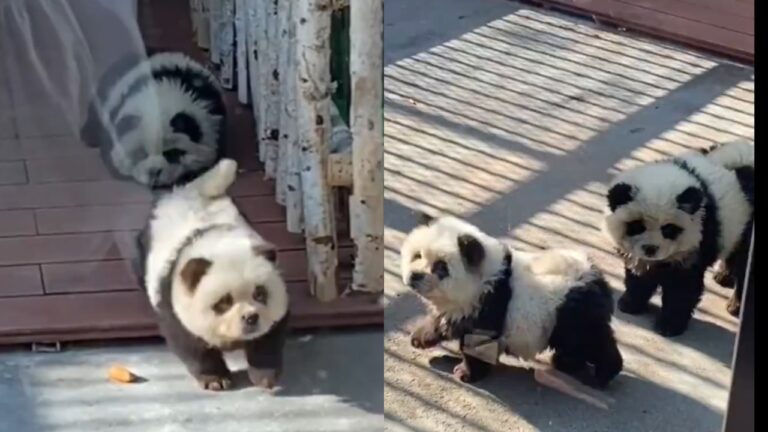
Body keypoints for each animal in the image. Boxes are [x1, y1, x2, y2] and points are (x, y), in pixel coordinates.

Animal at [134, 159, 289, 391]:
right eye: (223, 302)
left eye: (260, 294)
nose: (250, 318)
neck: (216, 242)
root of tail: (185, 191)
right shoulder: (173, 302)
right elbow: (189, 343)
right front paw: (215, 379)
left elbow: (269, 333)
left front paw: (265, 376)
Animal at [401, 215, 623, 388]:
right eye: (417, 255)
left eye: (441, 267)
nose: (415, 276)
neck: (486, 277)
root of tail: (597, 278)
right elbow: (444, 320)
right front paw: (420, 337)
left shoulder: (489, 305)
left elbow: (478, 344)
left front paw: (466, 373)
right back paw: (568, 363)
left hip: (571, 312)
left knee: (588, 341)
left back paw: (602, 373)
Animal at [603, 140, 754, 335]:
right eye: (637, 226)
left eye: (668, 229)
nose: (650, 249)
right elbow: (639, 276)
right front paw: (629, 303)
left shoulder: (697, 242)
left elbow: (682, 288)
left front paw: (669, 325)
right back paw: (724, 276)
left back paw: (735, 305)